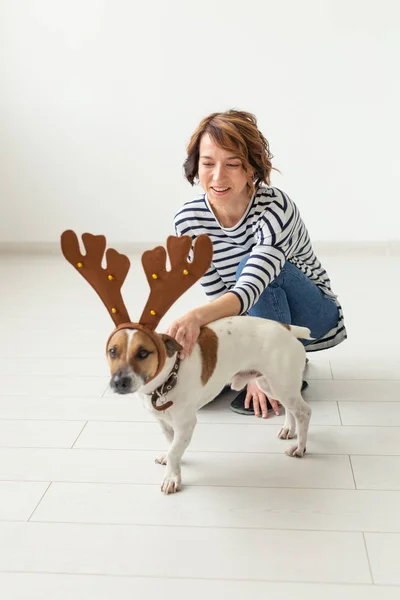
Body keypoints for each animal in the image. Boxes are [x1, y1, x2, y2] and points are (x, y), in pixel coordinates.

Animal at [108, 316, 310, 494]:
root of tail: (285, 327)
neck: (168, 378)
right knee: (291, 410)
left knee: (304, 412)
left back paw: (299, 448)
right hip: (271, 386)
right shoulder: (163, 422)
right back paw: (289, 429)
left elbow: (174, 450)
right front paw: (172, 463)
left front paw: (171, 478)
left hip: (281, 385)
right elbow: (171, 443)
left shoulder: (186, 424)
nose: (119, 382)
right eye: (112, 352)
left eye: (143, 353)